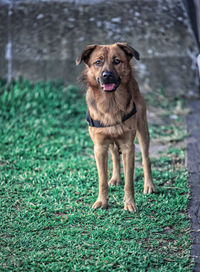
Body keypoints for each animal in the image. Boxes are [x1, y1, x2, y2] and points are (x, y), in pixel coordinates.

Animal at [76, 43, 155, 212]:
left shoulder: (128, 146)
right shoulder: (99, 147)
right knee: (114, 155)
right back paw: (115, 178)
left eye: (117, 61)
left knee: (146, 158)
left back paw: (149, 185)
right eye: (98, 62)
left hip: (143, 130)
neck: (110, 103)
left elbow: (129, 181)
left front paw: (129, 203)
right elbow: (102, 179)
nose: (107, 75)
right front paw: (102, 201)